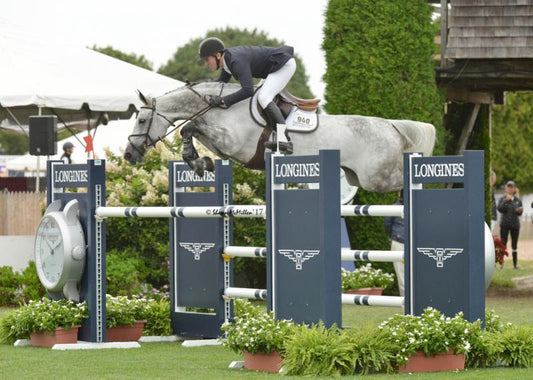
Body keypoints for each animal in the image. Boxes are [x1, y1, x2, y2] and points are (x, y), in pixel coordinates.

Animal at [125, 81, 436, 193]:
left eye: (141, 119)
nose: (129, 154)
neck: (224, 105)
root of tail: (390, 125)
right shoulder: (223, 144)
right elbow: (193, 129)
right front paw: (200, 162)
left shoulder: (234, 143)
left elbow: (190, 127)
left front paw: (199, 162)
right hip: (357, 178)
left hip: (376, 178)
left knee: (403, 179)